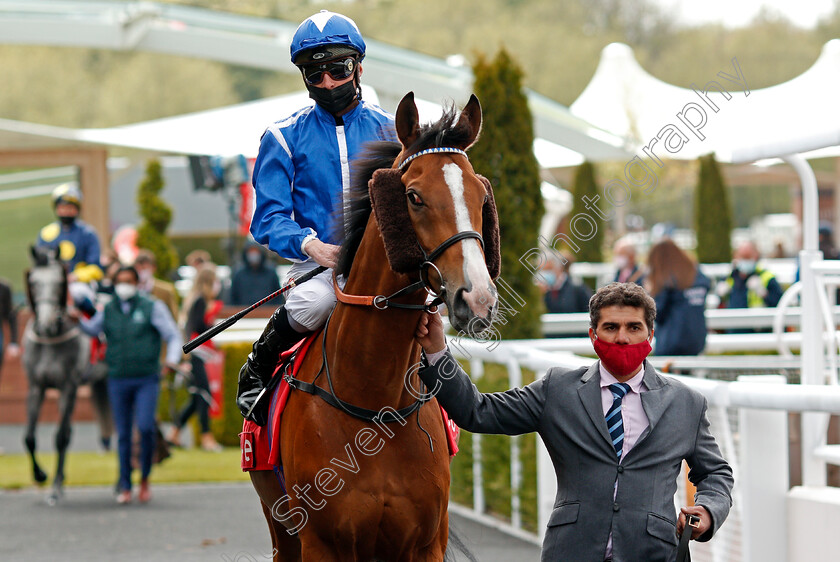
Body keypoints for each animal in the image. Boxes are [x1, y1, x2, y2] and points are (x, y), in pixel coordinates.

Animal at [22, 245, 92, 504]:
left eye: (59, 282)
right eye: (34, 282)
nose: (46, 323)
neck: (51, 339)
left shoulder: (68, 387)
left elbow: (60, 437)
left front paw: (53, 487)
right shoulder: (36, 387)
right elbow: (29, 437)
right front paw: (40, 474)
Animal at [249, 91, 498, 556]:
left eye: (479, 195)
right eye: (414, 196)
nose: (477, 298)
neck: (375, 403)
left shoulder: (425, 543)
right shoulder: (322, 544)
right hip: (281, 528)